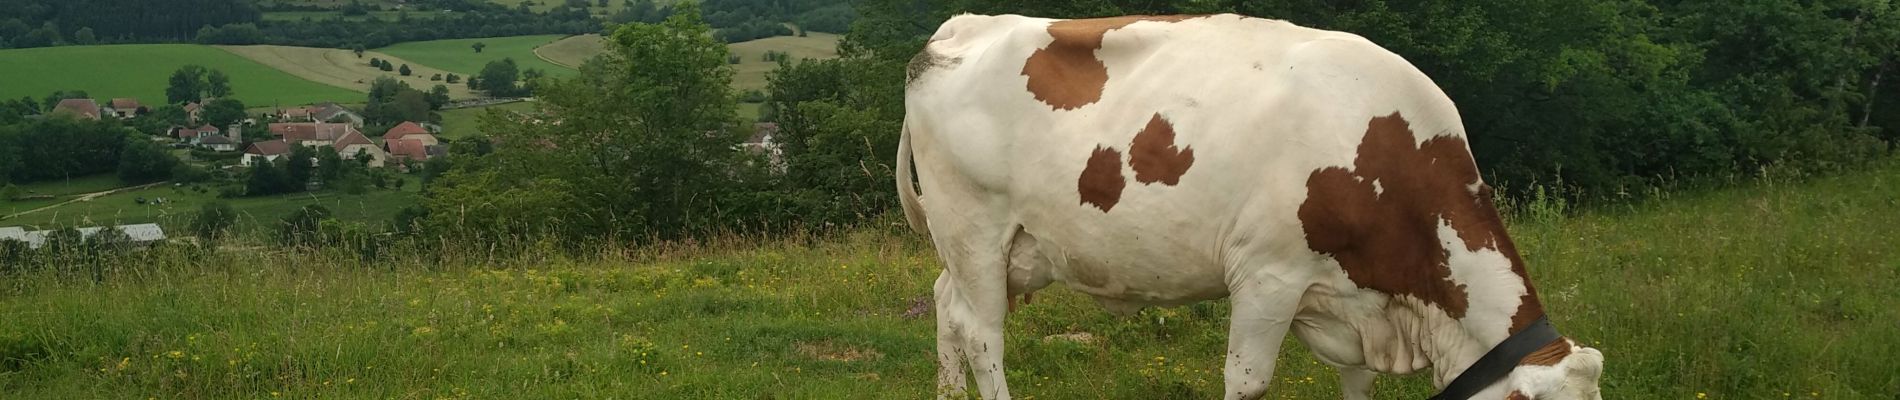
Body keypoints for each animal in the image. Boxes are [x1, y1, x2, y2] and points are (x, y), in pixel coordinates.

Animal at [896, 14, 1611, 398]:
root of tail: (965, 26)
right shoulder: (1268, 276)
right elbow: (1248, 380)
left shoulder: (1356, 306)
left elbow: (1359, 384)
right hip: (975, 229)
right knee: (982, 332)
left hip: (995, 248)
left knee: (945, 307)